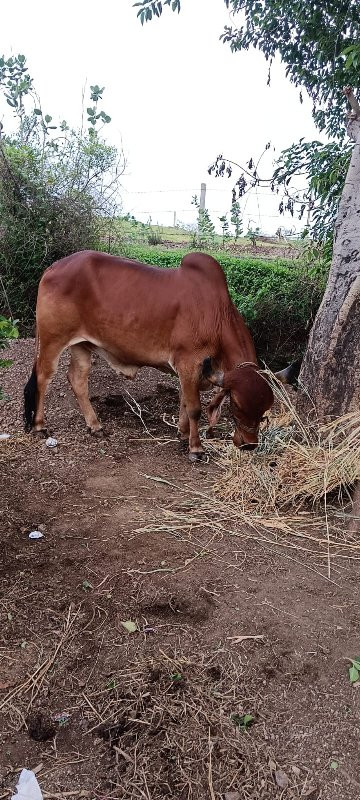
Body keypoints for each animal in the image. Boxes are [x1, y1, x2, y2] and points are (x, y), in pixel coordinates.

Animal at [23, 252, 290, 462]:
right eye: (237, 405)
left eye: (265, 410)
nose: (249, 444)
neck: (216, 314)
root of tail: (53, 267)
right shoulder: (188, 362)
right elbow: (194, 407)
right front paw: (195, 448)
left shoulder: (191, 371)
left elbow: (184, 401)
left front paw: (183, 433)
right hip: (52, 339)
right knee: (43, 377)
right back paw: (40, 425)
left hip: (82, 344)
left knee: (77, 379)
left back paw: (95, 425)